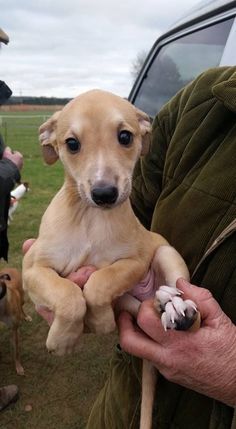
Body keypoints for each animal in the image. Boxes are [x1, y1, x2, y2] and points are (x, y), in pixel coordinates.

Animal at [22, 89, 199, 424]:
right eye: (72, 143)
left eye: (125, 136)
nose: (104, 194)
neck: (89, 218)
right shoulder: (32, 269)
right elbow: (69, 295)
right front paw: (65, 339)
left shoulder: (134, 261)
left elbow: (98, 284)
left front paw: (98, 323)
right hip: (130, 304)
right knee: (145, 308)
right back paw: (162, 304)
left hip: (166, 254)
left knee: (182, 299)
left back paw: (179, 308)